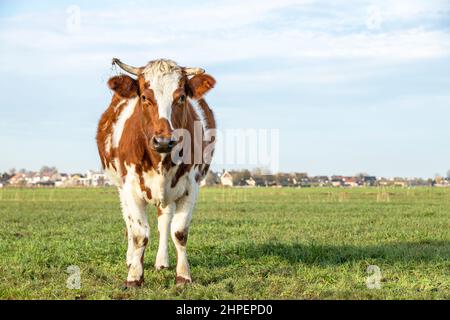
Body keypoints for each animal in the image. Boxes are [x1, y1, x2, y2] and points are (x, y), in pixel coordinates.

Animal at [96, 57, 216, 288]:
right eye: (144, 97)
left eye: (181, 97)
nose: (163, 141)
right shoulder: (130, 187)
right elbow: (139, 234)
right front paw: (134, 276)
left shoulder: (191, 186)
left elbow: (179, 232)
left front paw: (183, 276)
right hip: (120, 188)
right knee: (128, 222)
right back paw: (130, 259)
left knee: (164, 222)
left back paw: (162, 261)